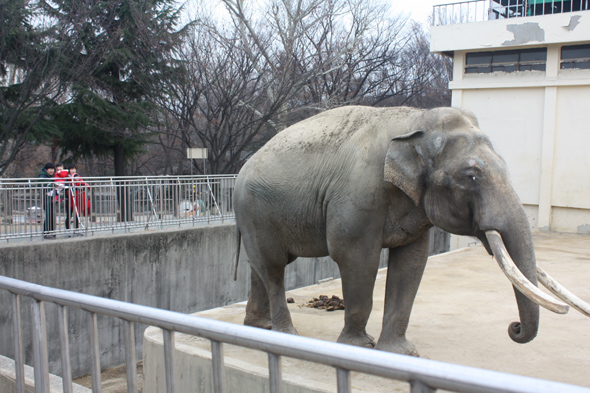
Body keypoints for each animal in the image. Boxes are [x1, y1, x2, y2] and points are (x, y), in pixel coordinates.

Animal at [234, 105, 588, 356]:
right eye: (471, 177)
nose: (513, 328)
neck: (415, 121)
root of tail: (242, 168)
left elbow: (412, 261)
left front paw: (401, 353)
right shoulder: (360, 193)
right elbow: (356, 257)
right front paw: (360, 348)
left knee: (260, 268)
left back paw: (259, 327)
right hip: (254, 210)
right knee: (274, 268)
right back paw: (286, 335)